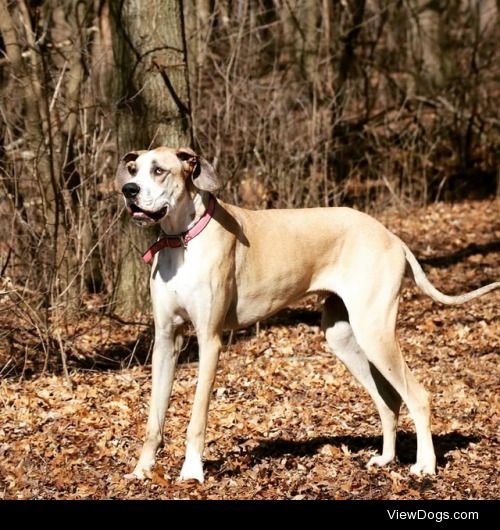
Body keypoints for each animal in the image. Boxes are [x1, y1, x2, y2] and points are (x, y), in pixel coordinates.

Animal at [115, 145, 498, 482]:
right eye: (133, 169)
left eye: (159, 170)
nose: (128, 191)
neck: (181, 239)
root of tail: (391, 236)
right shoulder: (166, 341)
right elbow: (154, 419)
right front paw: (141, 470)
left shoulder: (209, 342)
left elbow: (196, 418)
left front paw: (192, 472)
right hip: (344, 337)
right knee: (388, 400)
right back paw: (387, 458)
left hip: (374, 331)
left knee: (418, 397)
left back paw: (425, 466)